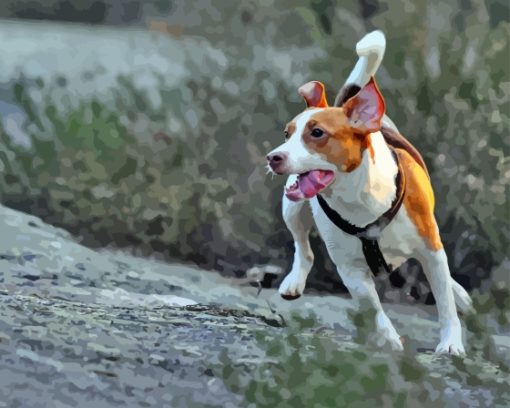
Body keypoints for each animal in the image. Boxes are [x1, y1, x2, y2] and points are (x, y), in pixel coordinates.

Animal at [264, 31, 472, 354]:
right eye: (287, 134)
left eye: (317, 133)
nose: (273, 157)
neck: (360, 198)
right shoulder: (350, 270)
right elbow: (373, 308)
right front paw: (388, 339)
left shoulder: (431, 249)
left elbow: (444, 303)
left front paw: (450, 343)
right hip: (292, 208)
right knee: (303, 247)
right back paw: (294, 280)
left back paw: (459, 294)